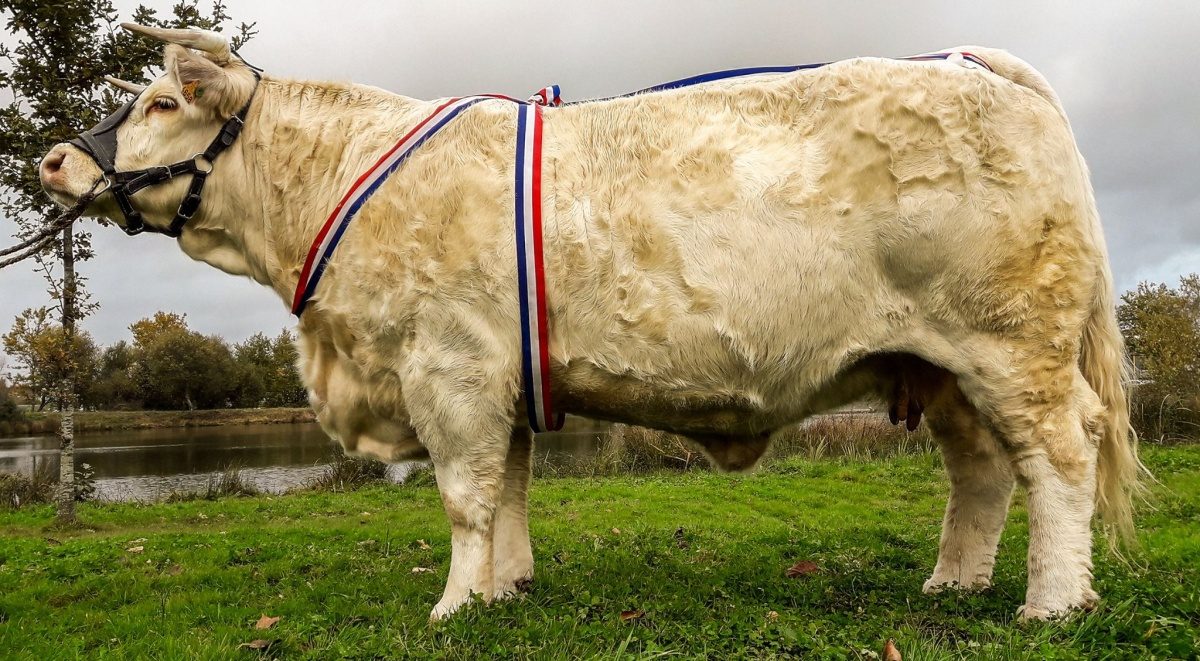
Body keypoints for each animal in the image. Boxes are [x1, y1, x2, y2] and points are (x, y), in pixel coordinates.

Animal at [39, 24, 1142, 619]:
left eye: (161, 101)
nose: (52, 159)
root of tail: (967, 60)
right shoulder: (498, 373)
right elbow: (511, 489)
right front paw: (506, 590)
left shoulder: (445, 366)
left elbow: (466, 496)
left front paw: (453, 605)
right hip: (942, 363)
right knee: (983, 470)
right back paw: (951, 585)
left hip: (1012, 341)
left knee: (1059, 454)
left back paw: (1054, 602)